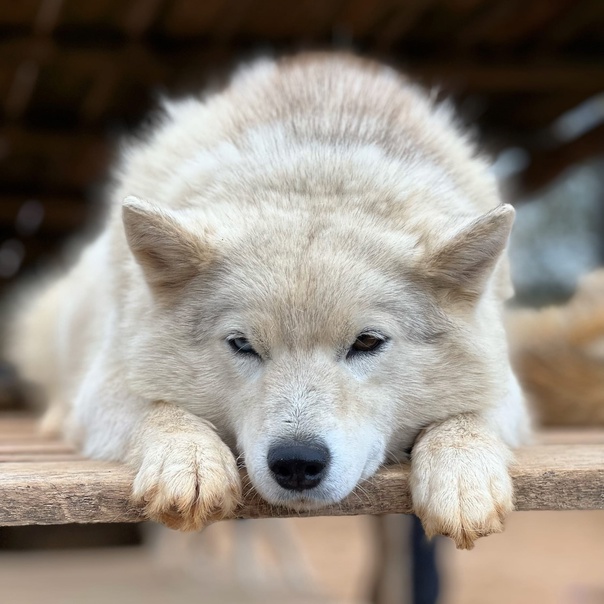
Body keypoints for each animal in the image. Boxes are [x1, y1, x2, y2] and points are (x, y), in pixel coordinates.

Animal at [7, 54, 532, 548]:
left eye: (367, 342)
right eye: (242, 345)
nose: (297, 463)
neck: (317, 163)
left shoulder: (507, 390)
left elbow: (470, 413)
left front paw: (461, 472)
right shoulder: (108, 383)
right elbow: (155, 406)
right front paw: (187, 456)